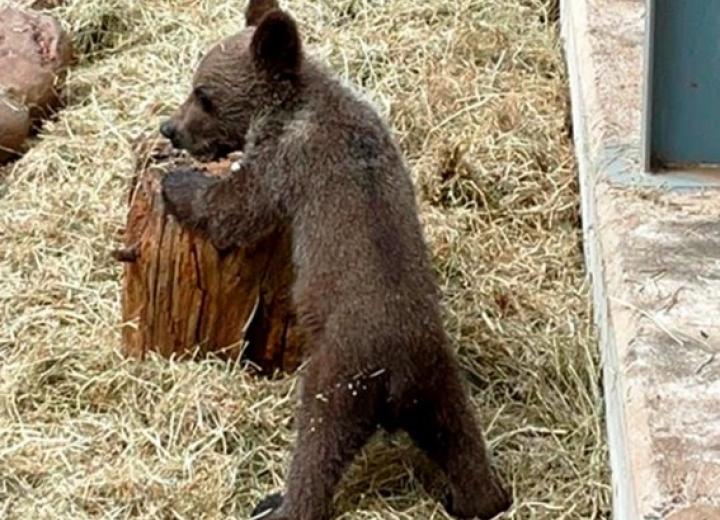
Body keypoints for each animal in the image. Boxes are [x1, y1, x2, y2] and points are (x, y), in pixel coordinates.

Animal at [159, 2, 511, 519]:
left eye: (203, 94)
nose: (170, 128)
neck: (297, 105)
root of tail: (400, 376)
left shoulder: (285, 163)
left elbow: (235, 210)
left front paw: (177, 184)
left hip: (341, 376)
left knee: (316, 447)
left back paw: (279, 502)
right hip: (440, 380)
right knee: (460, 439)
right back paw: (480, 497)